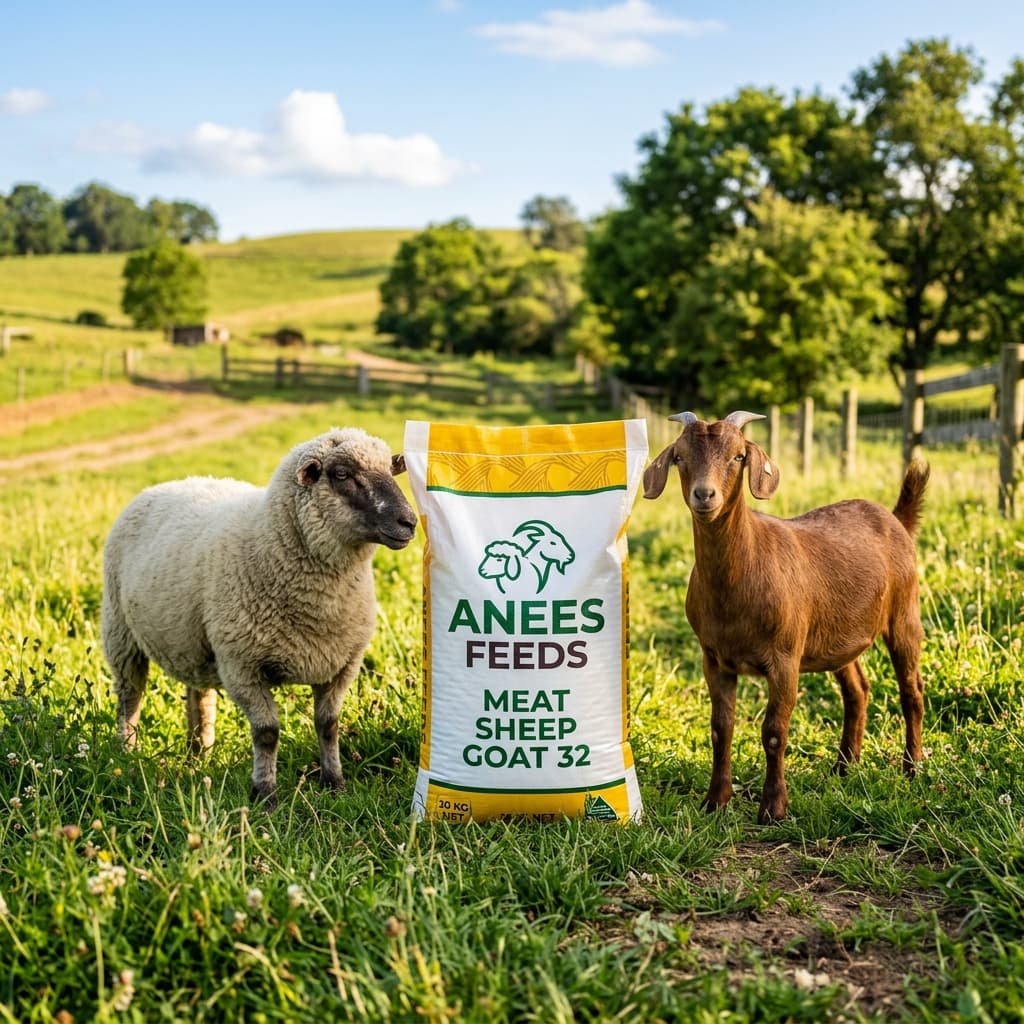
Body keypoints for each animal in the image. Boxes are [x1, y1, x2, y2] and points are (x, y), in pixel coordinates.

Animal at [101, 427, 417, 808]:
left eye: (390, 469)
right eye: (341, 474)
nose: (409, 522)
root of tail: (168, 483)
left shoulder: (341, 664)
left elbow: (328, 725)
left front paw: (335, 784)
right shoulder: (242, 666)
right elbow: (267, 733)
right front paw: (266, 795)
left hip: (193, 644)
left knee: (199, 697)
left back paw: (198, 754)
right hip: (120, 632)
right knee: (130, 697)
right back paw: (126, 753)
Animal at [643, 410, 928, 824]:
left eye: (739, 456)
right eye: (679, 457)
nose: (704, 495)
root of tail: (896, 519)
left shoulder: (785, 657)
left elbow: (774, 731)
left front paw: (773, 808)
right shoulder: (713, 659)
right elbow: (720, 728)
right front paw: (715, 802)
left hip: (904, 614)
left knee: (911, 690)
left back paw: (912, 767)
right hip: (836, 636)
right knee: (857, 689)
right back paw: (844, 765)